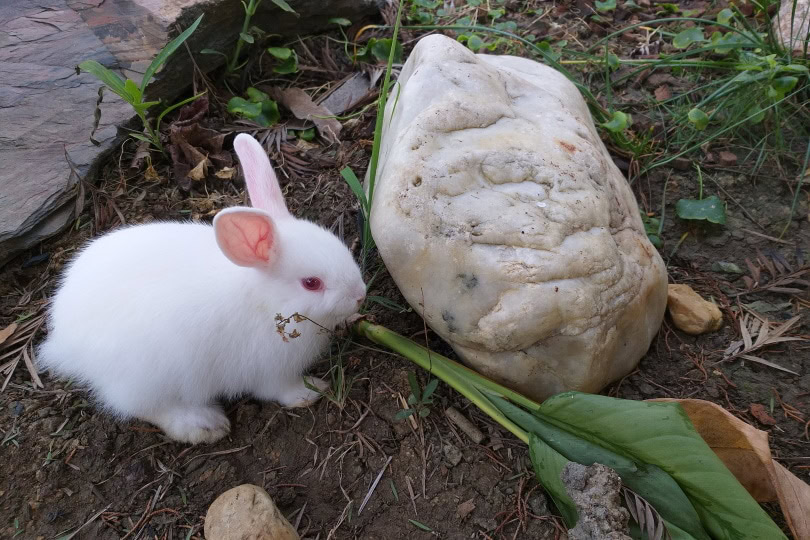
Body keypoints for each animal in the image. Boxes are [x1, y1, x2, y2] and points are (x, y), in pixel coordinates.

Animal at [37, 134, 367, 444]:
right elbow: (280, 390)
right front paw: (312, 392)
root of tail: (65, 342)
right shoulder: (270, 370)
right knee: (145, 408)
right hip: (147, 378)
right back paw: (203, 425)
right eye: (311, 283)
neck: (266, 300)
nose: (360, 295)